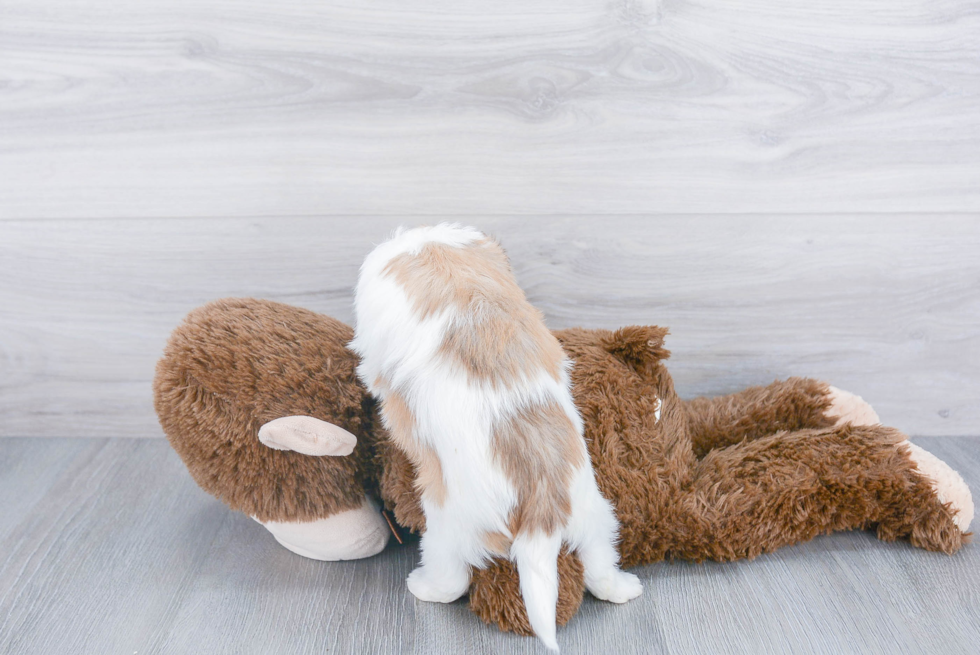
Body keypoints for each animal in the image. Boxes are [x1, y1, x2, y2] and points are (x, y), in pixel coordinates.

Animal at [352, 226, 644, 652]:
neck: (444, 257)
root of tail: (542, 504)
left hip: (448, 525)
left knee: (452, 578)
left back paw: (424, 587)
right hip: (595, 514)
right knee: (598, 563)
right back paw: (623, 588)